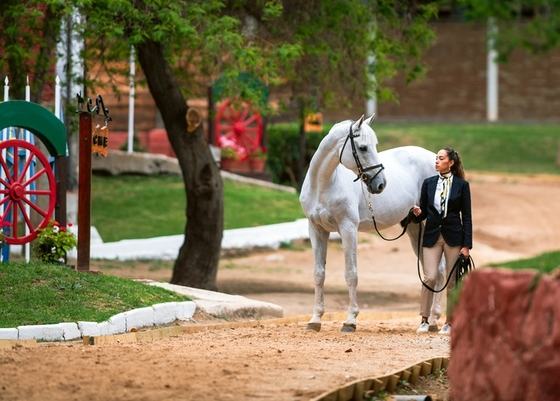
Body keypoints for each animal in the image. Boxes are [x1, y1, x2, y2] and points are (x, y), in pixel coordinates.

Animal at [300, 115, 440, 332]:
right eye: (364, 147)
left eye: (374, 146)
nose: (380, 184)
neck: (323, 185)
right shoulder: (316, 230)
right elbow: (318, 274)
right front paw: (315, 320)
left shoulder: (348, 229)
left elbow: (351, 274)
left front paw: (350, 321)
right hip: (415, 227)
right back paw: (428, 322)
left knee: (440, 269)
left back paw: (434, 320)